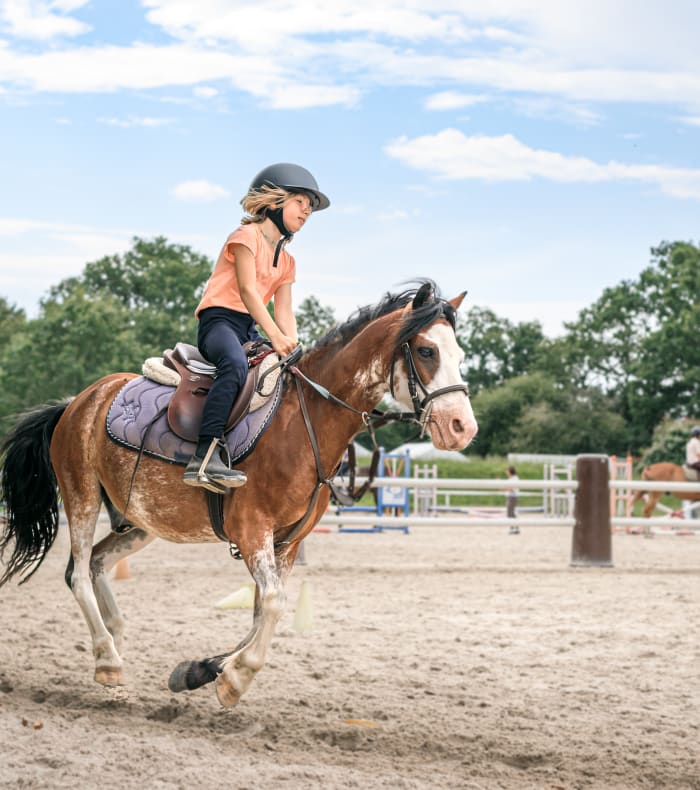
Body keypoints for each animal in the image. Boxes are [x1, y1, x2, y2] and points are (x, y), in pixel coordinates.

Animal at [0, 281, 478, 708]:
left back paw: (114, 641)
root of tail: (79, 401)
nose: (462, 428)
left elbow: (263, 611)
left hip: (140, 519)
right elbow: (273, 603)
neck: (305, 420)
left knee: (95, 564)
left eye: (460, 355)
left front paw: (201, 670)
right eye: (427, 351)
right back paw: (108, 662)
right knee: (79, 573)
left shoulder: (288, 542)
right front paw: (235, 679)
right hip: (81, 497)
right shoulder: (253, 532)